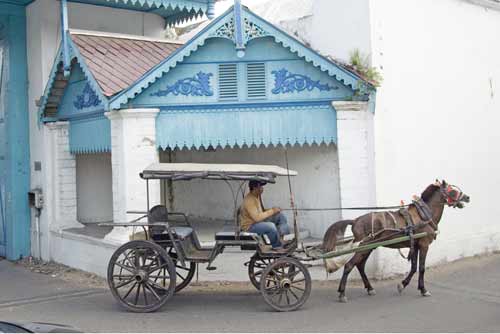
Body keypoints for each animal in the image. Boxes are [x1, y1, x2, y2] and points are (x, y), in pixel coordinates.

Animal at [322, 180, 470, 302]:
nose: (467, 197)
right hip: (364, 247)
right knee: (349, 266)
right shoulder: (424, 245)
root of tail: (355, 220)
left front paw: (402, 285)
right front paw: (423, 289)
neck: (424, 215)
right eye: (452, 190)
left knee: (360, 266)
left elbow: (414, 267)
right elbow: (421, 268)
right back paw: (342, 293)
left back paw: (370, 288)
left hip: (368, 248)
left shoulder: (415, 245)